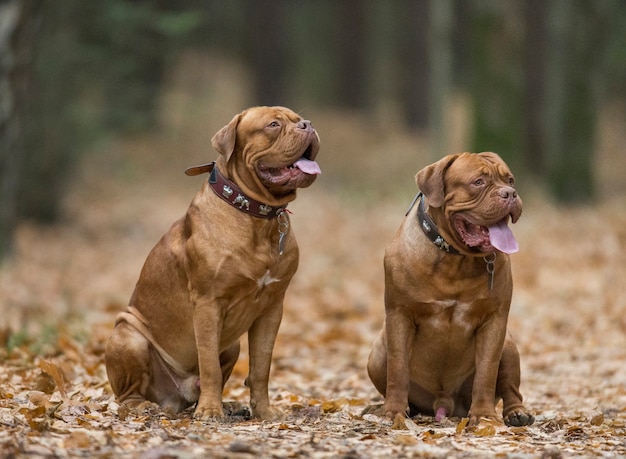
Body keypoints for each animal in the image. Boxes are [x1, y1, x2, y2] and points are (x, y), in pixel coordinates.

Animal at [105, 107, 320, 420]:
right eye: (273, 124)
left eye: (299, 118)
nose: (308, 124)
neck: (258, 216)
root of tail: (173, 399)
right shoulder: (208, 303)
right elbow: (209, 365)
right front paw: (209, 410)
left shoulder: (272, 307)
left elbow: (261, 368)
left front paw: (265, 412)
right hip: (129, 337)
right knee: (125, 395)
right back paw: (144, 406)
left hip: (232, 345)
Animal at [366, 152, 532, 428]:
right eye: (478, 182)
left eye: (510, 180)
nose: (510, 193)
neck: (456, 259)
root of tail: (444, 405)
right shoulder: (399, 315)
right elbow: (398, 369)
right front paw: (392, 412)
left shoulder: (494, 321)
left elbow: (486, 372)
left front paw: (484, 416)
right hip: (377, 354)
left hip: (508, 345)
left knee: (511, 389)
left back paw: (517, 413)